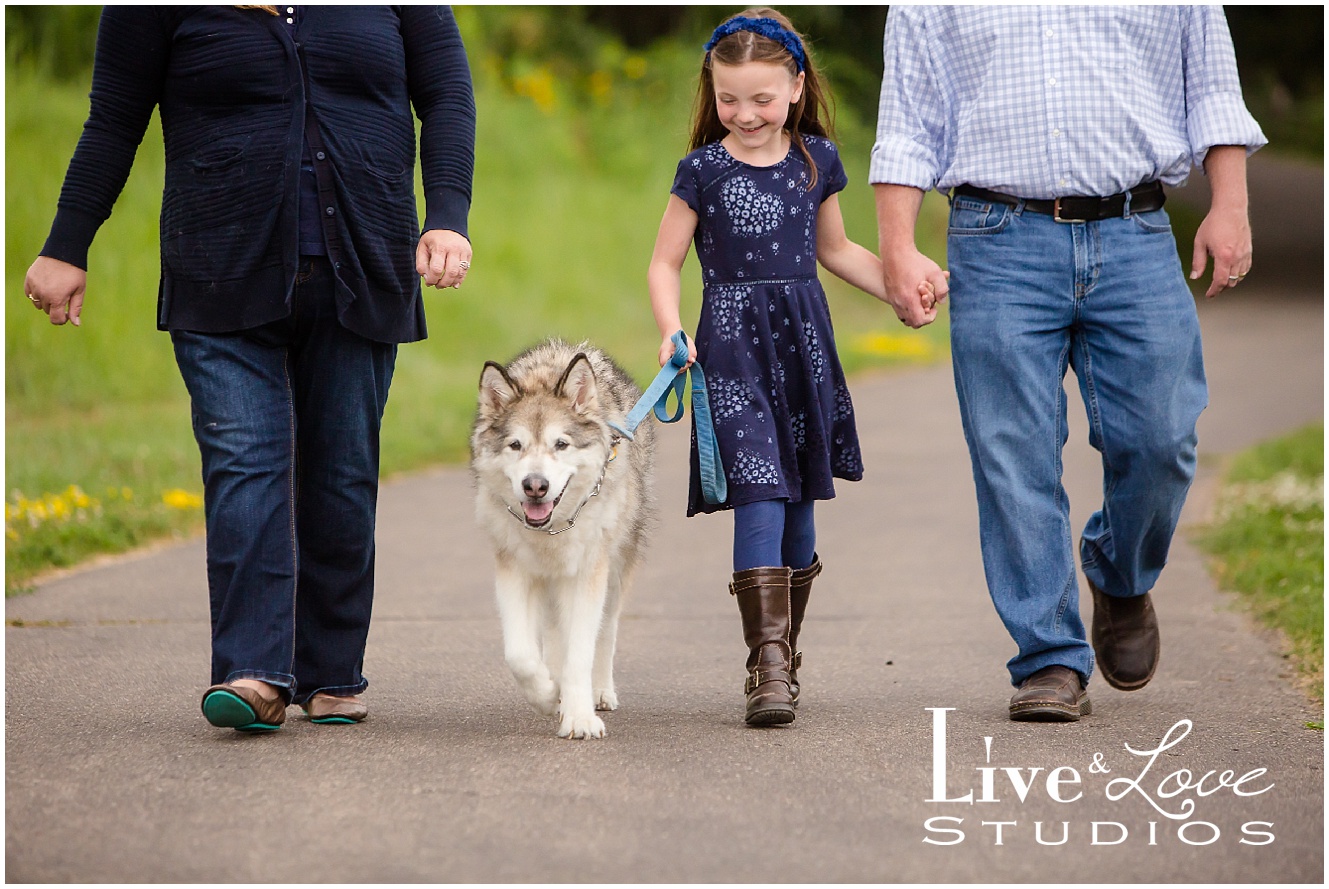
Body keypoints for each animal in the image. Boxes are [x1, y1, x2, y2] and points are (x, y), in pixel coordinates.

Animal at [470, 336, 656, 738]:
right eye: (516, 445)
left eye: (561, 444)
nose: (535, 485)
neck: (550, 530)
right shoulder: (515, 571)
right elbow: (521, 656)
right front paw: (547, 693)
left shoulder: (588, 574)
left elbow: (581, 653)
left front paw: (580, 717)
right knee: (554, 634)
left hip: (615, 569)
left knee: (605, 631)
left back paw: (599, 691)